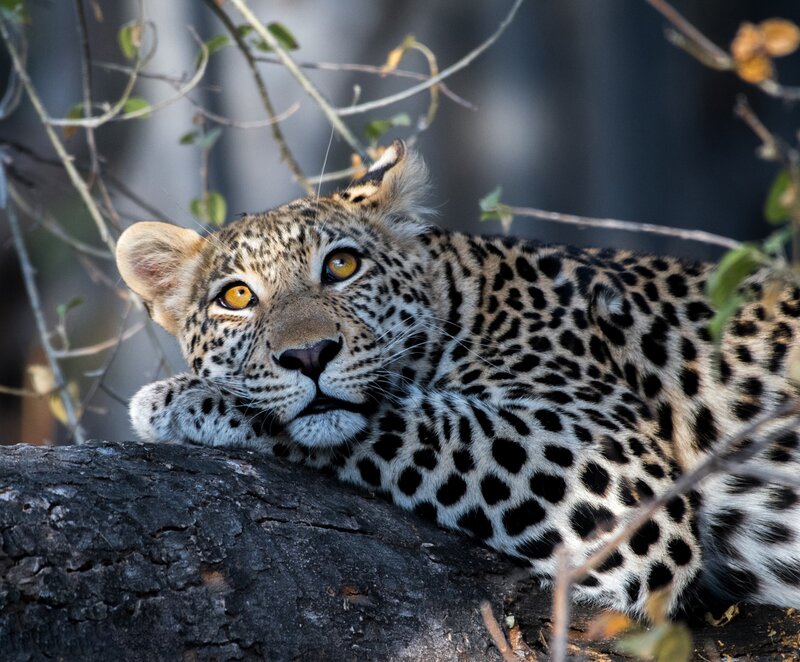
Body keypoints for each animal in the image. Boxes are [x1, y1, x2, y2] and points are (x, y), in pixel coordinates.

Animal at [117, 140, 800, 618]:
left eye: (342, 265)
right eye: (236, 297)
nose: (310, 355)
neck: (468, 294)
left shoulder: (616, 475)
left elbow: (414, 417)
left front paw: (183, 399)